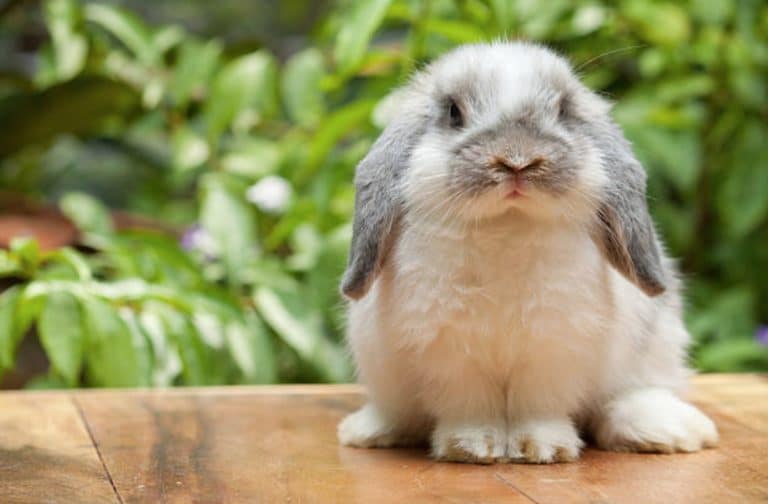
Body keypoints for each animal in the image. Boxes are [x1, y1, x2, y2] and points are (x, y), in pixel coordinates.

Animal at [337, 41, 718, 464]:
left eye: (563, 110)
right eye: (453, 112)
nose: (517, 160)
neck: (507, 226)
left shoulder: (553, 348)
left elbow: (538, 405)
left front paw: (542, 448)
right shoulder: (451, 353)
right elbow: (469, 405)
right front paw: (472, 447)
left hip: (655, 350)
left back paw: (668, 431)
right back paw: (370, 430)